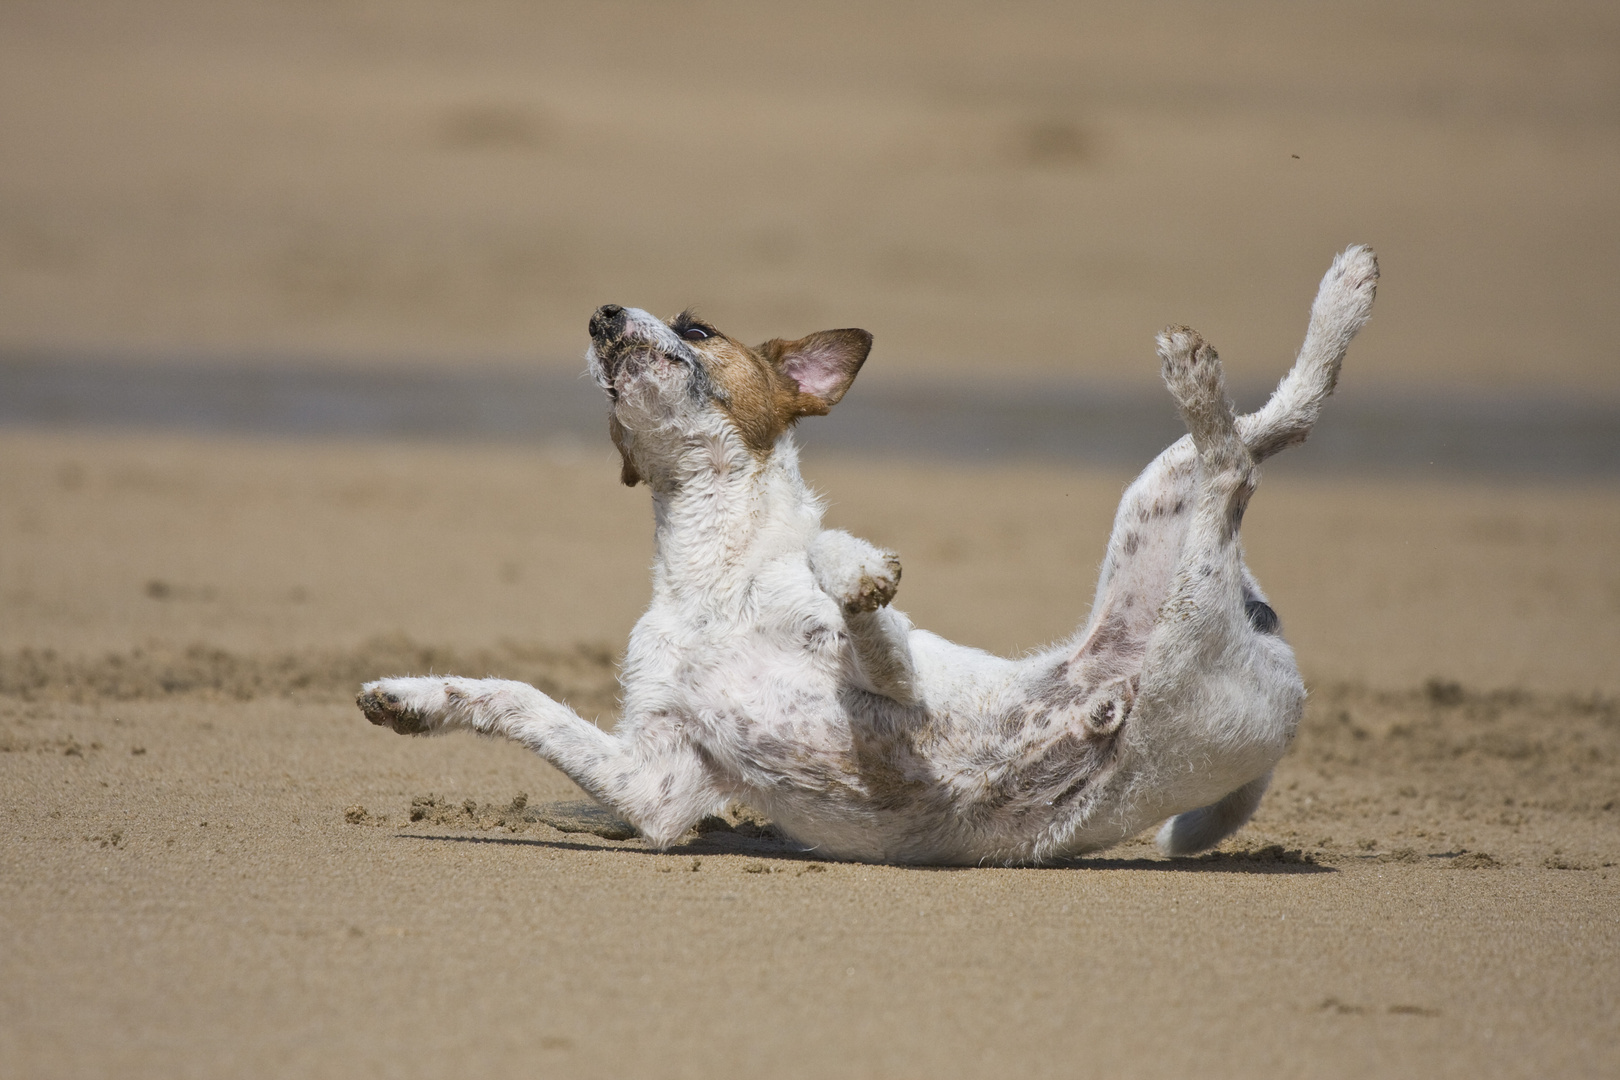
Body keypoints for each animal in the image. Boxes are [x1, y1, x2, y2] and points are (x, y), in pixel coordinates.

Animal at [358, 247, 1380, 867]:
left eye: (696, 328)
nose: (601, 314)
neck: (711, 576)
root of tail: (1278, 650)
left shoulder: (904, 690)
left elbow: (844, 580)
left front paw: (851, 567)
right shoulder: (658, 789)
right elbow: (518, 700)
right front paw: (412, 698)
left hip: (1184, 597)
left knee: (1241, 453)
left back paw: (1258, 340)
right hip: (1159, 526)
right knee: (1258, 443)